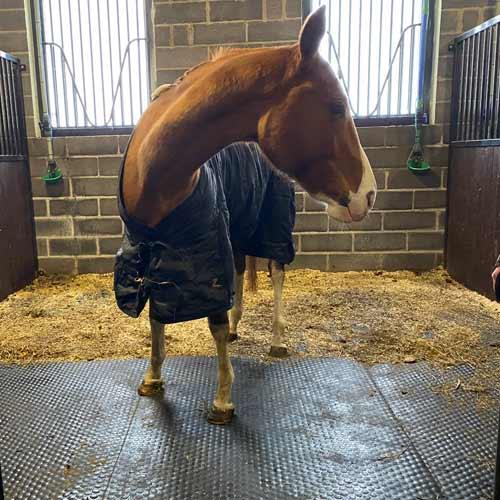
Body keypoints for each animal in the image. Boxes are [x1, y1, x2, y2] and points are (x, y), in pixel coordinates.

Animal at [114, 5, 376, 424]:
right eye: (336, 107)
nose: (368, 195)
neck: (155, 177)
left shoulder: (208, 260)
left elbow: (215, 324)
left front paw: (223, 400)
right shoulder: (152, 255)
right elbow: (157, 316)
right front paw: (152, 379)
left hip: (273, 229)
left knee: (277, 274)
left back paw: (277, 340)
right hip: (236, 230)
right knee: (239, 271)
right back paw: (240, 327)